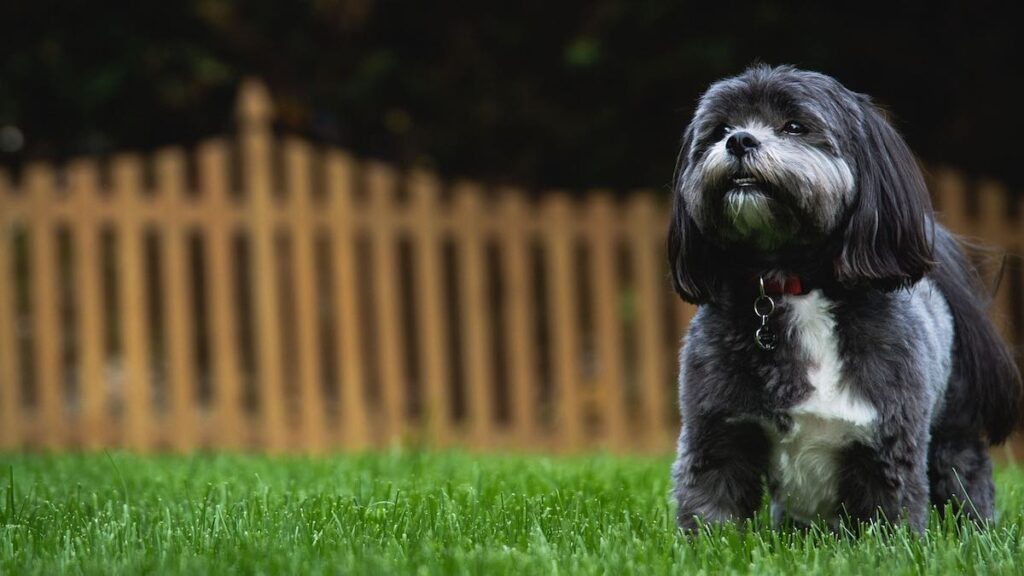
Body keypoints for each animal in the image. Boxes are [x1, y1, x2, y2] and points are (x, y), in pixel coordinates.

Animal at [667, 65, 1019, 532]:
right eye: (720, 129)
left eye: (795, 126)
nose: (739, 140)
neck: (795, 284)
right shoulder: (717, 434)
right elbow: (711, 510)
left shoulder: (887, 447)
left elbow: (892, 520)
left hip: (952, 431)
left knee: (965, 473)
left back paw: (976, 529)